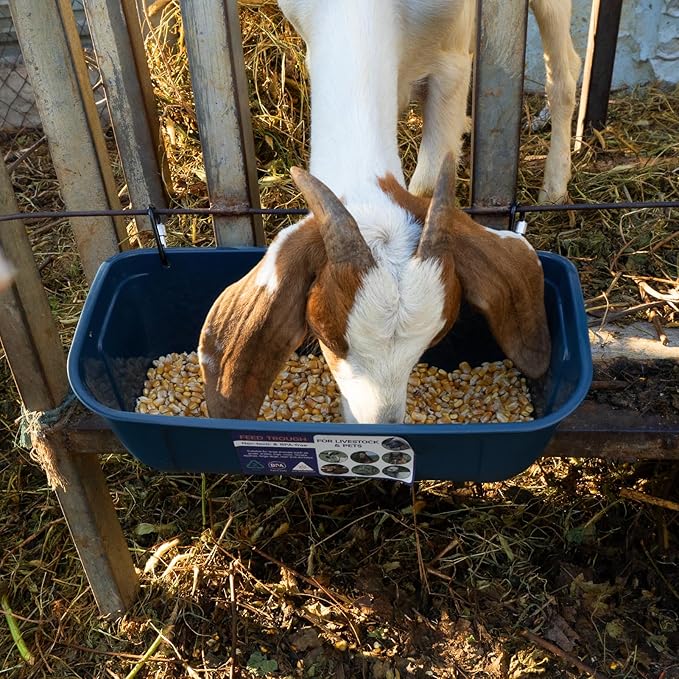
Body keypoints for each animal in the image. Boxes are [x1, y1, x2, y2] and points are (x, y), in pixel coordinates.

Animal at [198, 1, 555, 424]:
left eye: (435, 337)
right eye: (323, 333)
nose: (379, 424)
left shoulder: (452, 62)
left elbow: (426, 181)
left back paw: (555, 184)